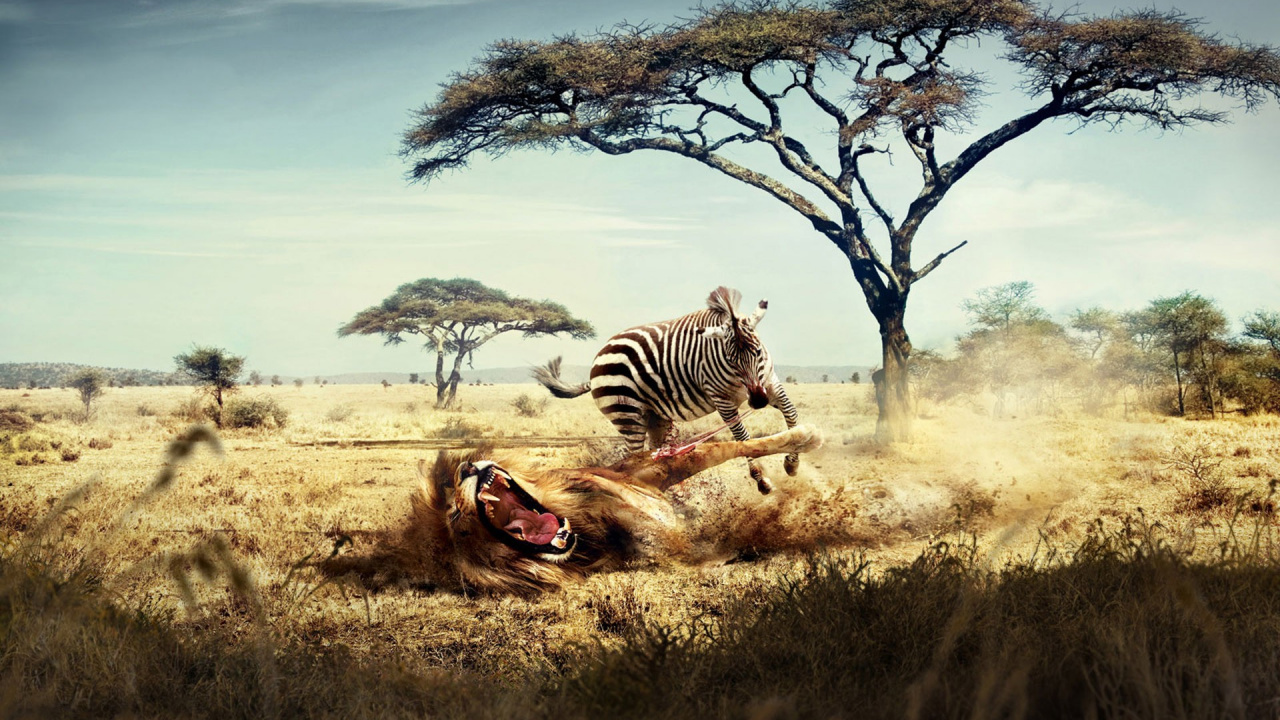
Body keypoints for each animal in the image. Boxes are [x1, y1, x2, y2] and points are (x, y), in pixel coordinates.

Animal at [533, 286, 801, 494]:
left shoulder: (769, 382)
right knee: (633, 458)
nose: (757, 401)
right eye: (731, 359)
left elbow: (792, 414)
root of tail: (599, 356)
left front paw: (792, 463)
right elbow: (744, 439)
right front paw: (762, 480)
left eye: (758, 352)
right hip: (627, 414)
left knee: (654, 455)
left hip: (655, 416)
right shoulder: (722, 399)